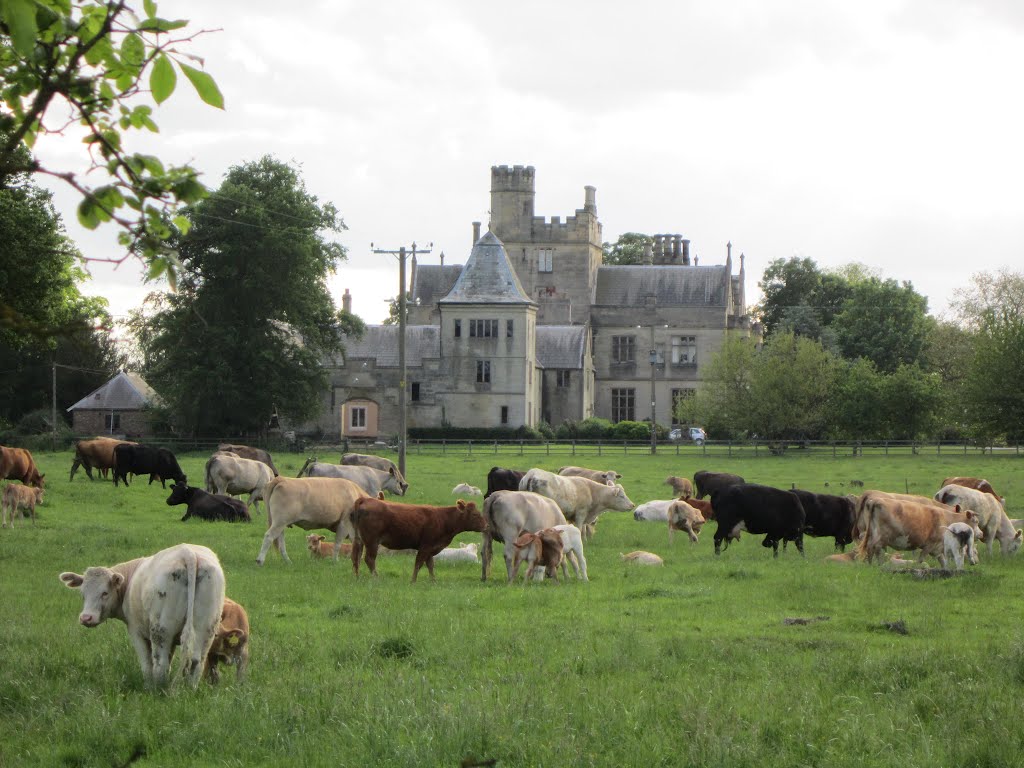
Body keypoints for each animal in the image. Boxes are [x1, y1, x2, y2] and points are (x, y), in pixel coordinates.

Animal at [59, 540, 224, 692]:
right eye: (82, 593)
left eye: (104, 593)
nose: (86, 618)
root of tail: (188, 553)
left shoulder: (136, 631)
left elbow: (146, 664)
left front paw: (148, 686)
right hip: (205, 628)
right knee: (196, 661)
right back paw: (189, 690)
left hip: (160, 629)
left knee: (160, 663)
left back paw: (157, 691)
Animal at [350, 495, 485, 581]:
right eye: (475, 514)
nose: (486, 525)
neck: (443, 518)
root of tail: (365, 499)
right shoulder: (426, 546)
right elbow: (419, 563)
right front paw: (413, 580)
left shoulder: (431, 548)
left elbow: (430, 565)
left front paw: (433, 581)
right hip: (372, 541)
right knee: (369, 559)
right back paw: (376, 578)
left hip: (359, 540)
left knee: (356, 557)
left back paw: (357, 577)